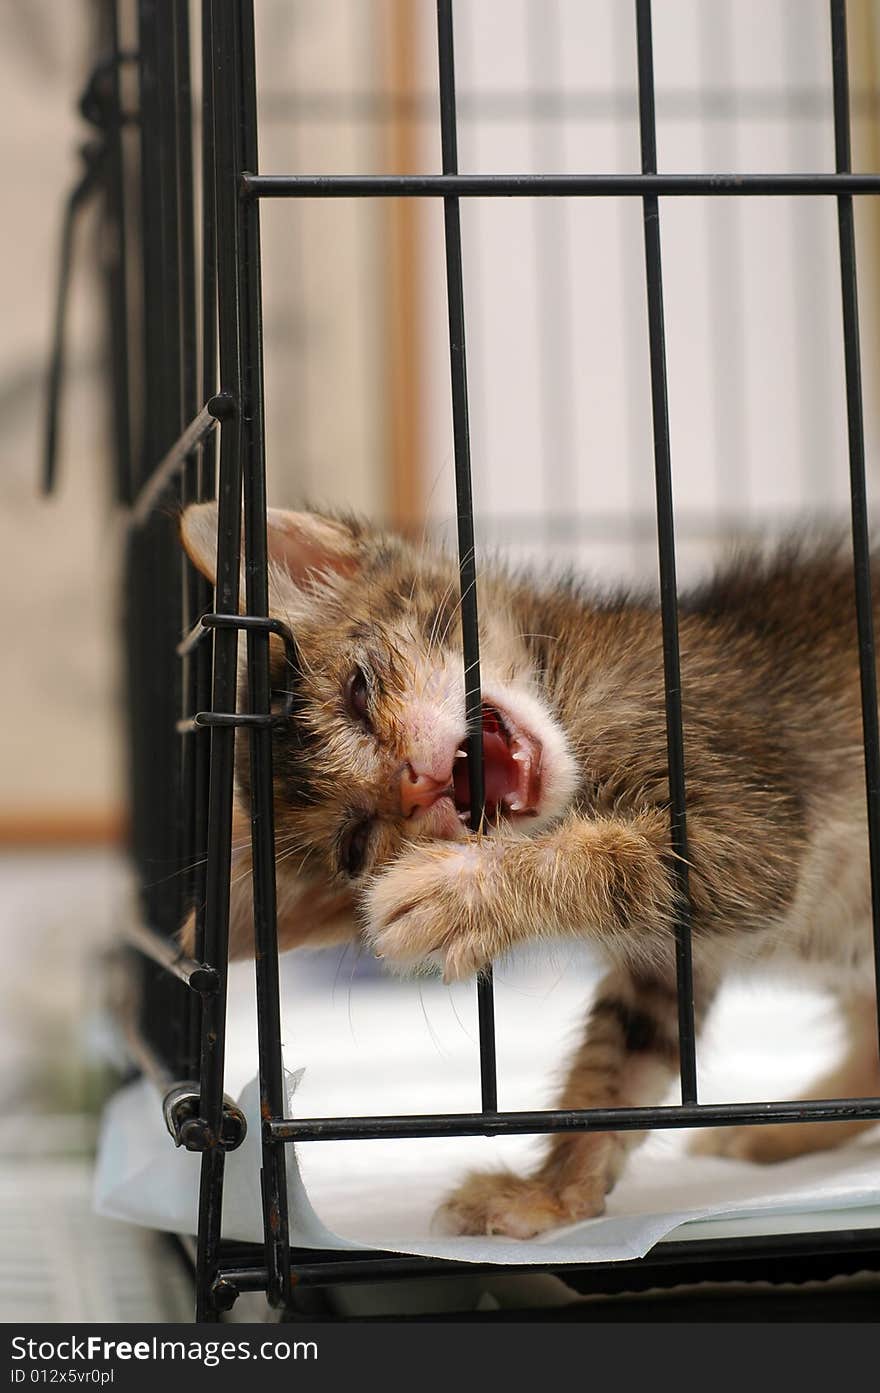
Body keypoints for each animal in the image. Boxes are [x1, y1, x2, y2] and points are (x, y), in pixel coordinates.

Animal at [178, 504, 880, 1242]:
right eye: (356, 841)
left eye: (358, 692)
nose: (412, 785)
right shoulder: (669, 959)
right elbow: (619, 1067)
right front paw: (555, 1193)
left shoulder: (748, 824)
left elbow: (609, 858)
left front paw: (464, 892)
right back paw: (779, 1132)